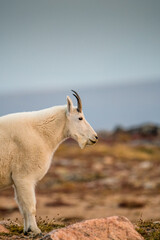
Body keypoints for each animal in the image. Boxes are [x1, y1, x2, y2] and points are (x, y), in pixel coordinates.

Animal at [0, 90, 97, 234]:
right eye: (80, 118)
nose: (95, 137)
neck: (40, 132)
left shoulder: (17, 182)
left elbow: (23, 207)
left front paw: (26, 230)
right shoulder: (24, 178)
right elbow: (30, 206)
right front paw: (35, 230)